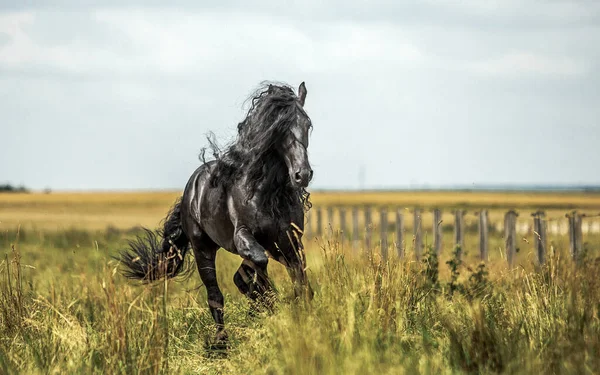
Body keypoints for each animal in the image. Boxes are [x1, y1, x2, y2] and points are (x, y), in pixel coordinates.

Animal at [116, 82, 314, 350]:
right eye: (279, 129)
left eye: (307, 124)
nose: (302, 175)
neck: (269, 194)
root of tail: (191, 187)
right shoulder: (243, 236)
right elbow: (259, 264)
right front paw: (267, 303)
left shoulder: (289, 241)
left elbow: (298, 277)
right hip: (203, 249)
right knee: (215, 296)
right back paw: (222, 343)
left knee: (241, 277)